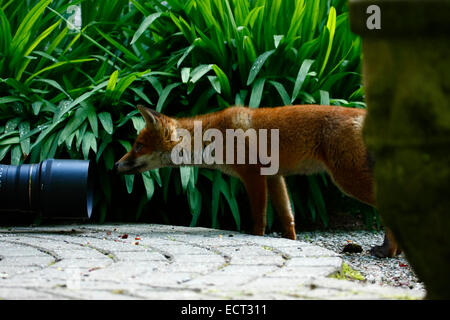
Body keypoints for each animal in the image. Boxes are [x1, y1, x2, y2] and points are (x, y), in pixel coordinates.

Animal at [116, 105, 400, 258]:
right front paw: (291, 243)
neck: (213, 138)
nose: (115, 165)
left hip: (348, 179)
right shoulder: (274, 176)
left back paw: (390, 251)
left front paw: (259, 240)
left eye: (138, 146)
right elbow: (287, 217)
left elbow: (259, 220)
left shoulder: (253, 176)